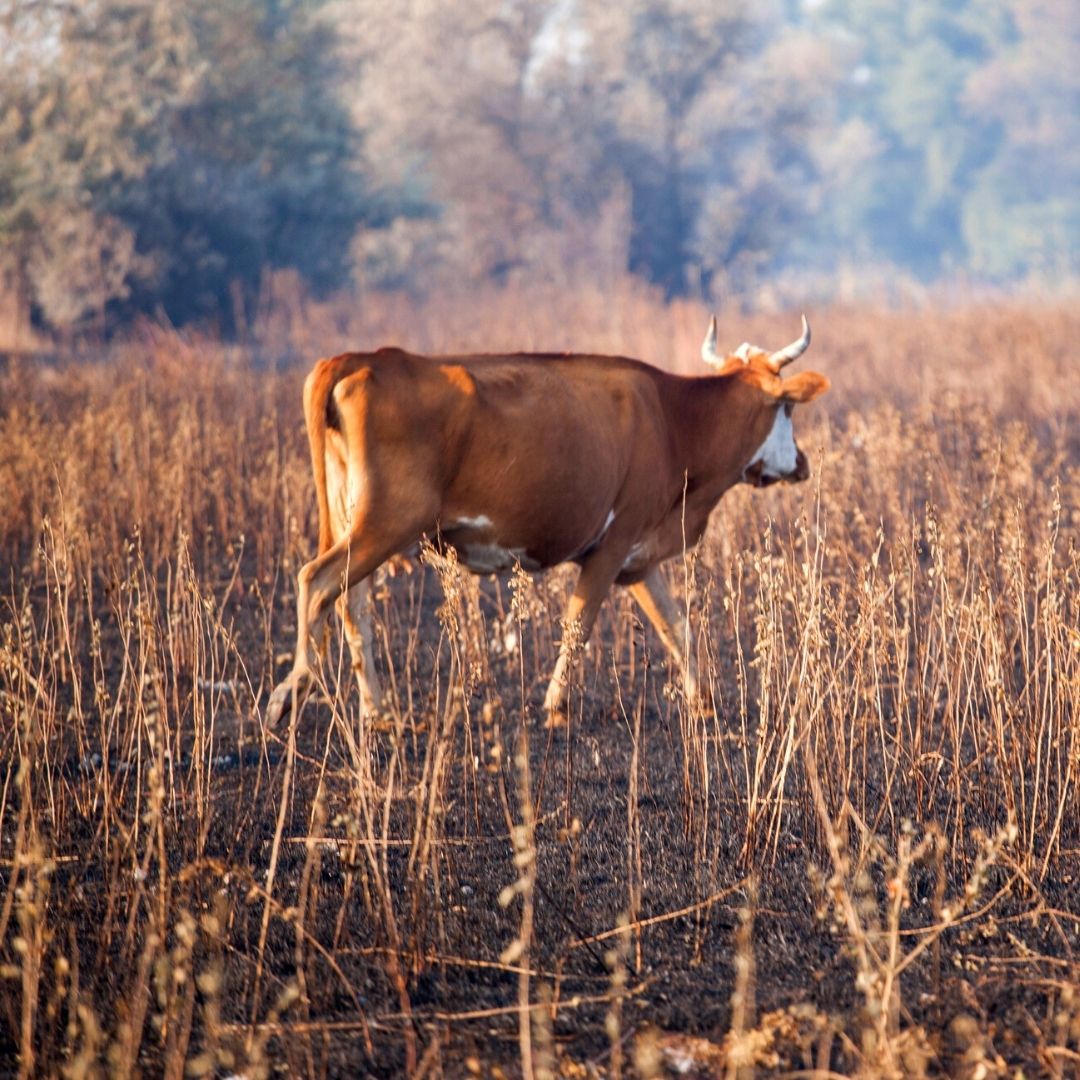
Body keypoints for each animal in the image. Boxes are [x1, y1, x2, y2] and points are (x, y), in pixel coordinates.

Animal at [265, 315, 829, 730]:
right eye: (786, 407)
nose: (801, 463)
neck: (673, 420)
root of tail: (363, 358)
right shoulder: (612, 545)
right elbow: (579, 625)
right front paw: (556, 705)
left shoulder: (638, 558)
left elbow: (676, 627)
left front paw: (703, 699)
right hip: (386, 522)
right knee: (316, 580)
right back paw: (291, 692)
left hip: (357, 522)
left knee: (350, 600)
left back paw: (378, 711)